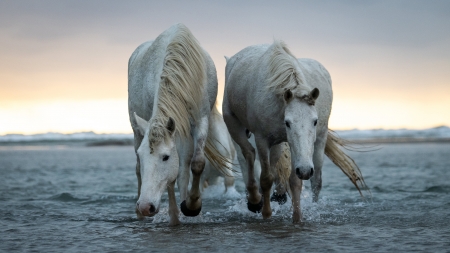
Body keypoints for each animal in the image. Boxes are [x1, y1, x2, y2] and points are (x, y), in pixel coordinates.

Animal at [223, 40, 368, 222]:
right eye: (288, 123)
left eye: (315, 121)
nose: (305, 170)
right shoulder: (262, 139)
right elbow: (266, 177)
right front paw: (266, 213)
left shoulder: (290, 143)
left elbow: (294, 180)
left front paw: (297, 218)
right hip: (233, 123)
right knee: (248, 153)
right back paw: (255, 201)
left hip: (309, 142)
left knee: (312, 178)